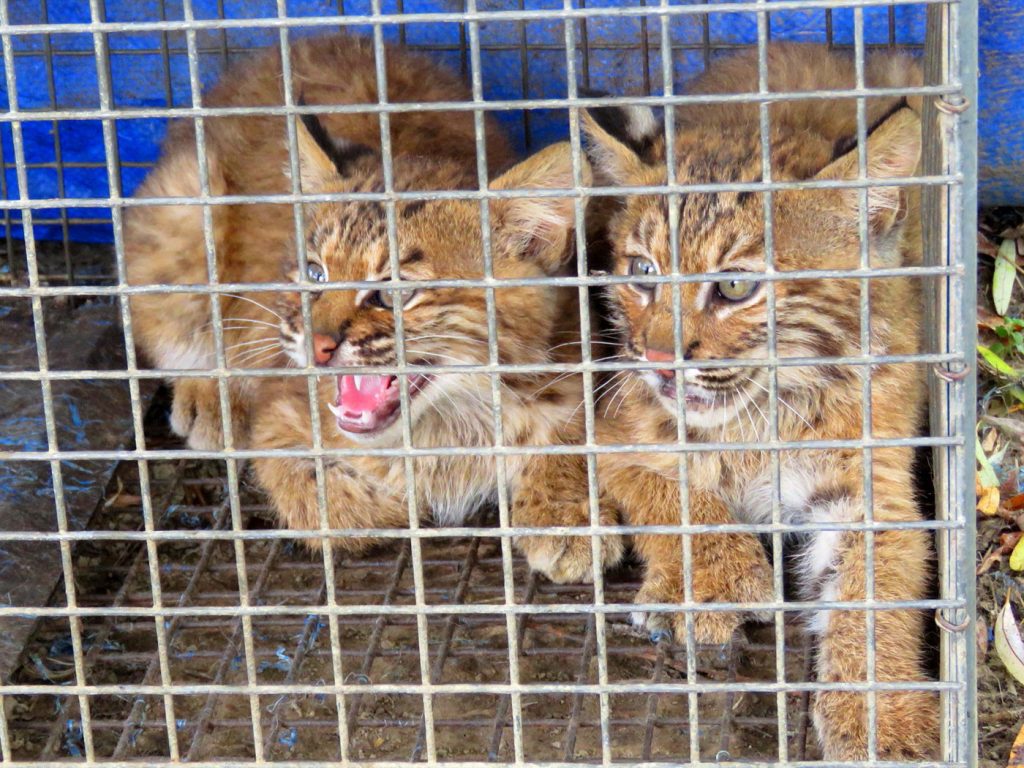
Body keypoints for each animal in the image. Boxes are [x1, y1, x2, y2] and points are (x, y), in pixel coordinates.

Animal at [249, 132, 622, 581]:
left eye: (394, 293)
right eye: (314, 274)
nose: (316, 344)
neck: (451, 421)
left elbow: (570, 434)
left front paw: (566, 516)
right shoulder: (274, 415)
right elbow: (318, 496)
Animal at [585, 43, 937, 765]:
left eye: (734, 287)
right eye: (642, 274)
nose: (656, 359)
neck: (759, 412)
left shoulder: (874, 485)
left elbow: (876, 594)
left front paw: (883, 718)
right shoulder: (606, 431)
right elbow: (675, 494)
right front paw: (720, 582)